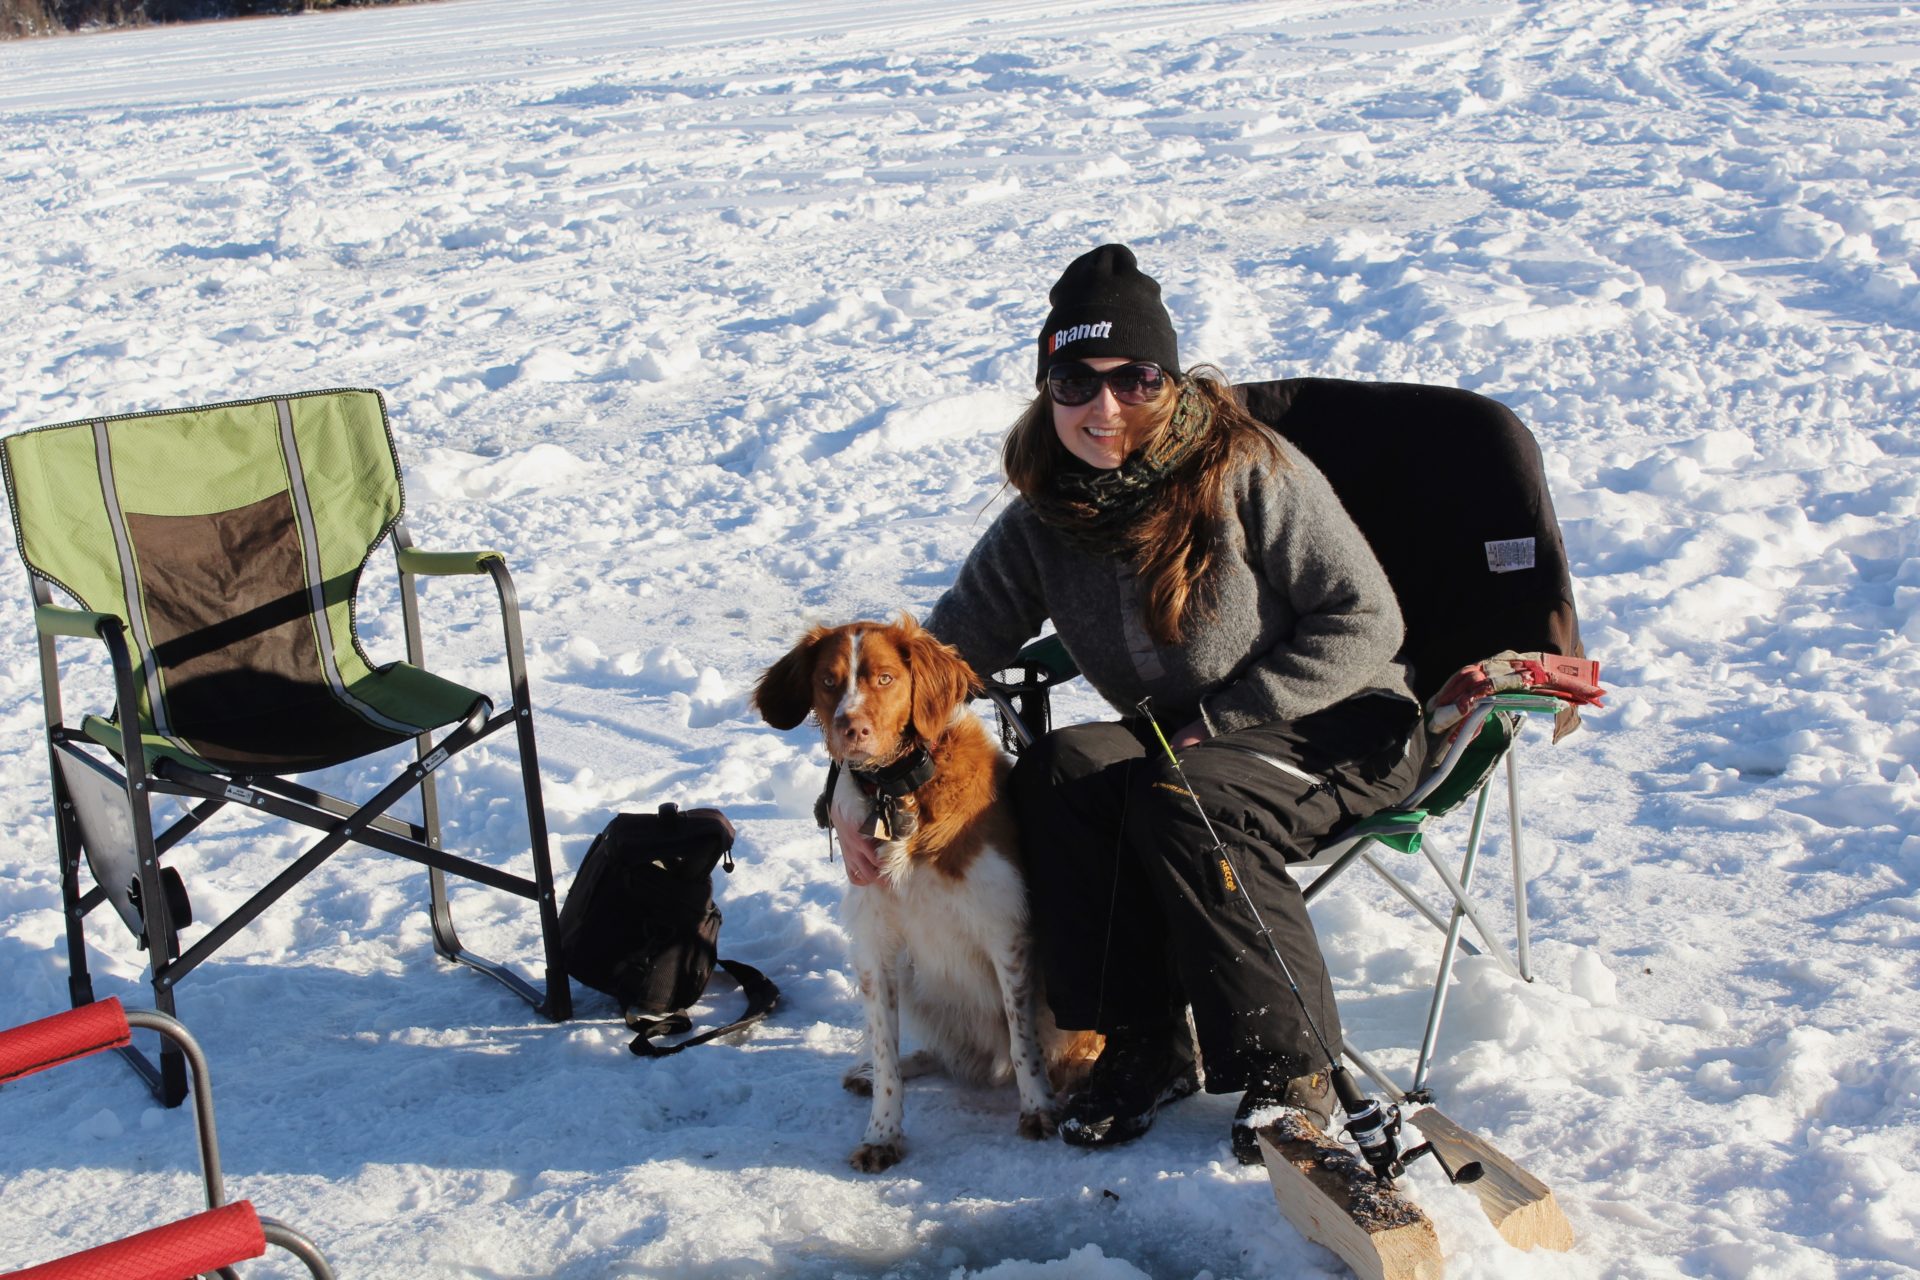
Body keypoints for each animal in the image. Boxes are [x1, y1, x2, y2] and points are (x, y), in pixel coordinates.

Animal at [752, 617, 1098, 1174]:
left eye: (885, 678)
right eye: (828, 682)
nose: (851, 728)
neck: (899, 793)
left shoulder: (1006, 932)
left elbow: (1023, 1040)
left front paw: (1039, 1110)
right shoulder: (876, 951)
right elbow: (886, 1054)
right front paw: (882, 1134)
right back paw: (876, 1071)